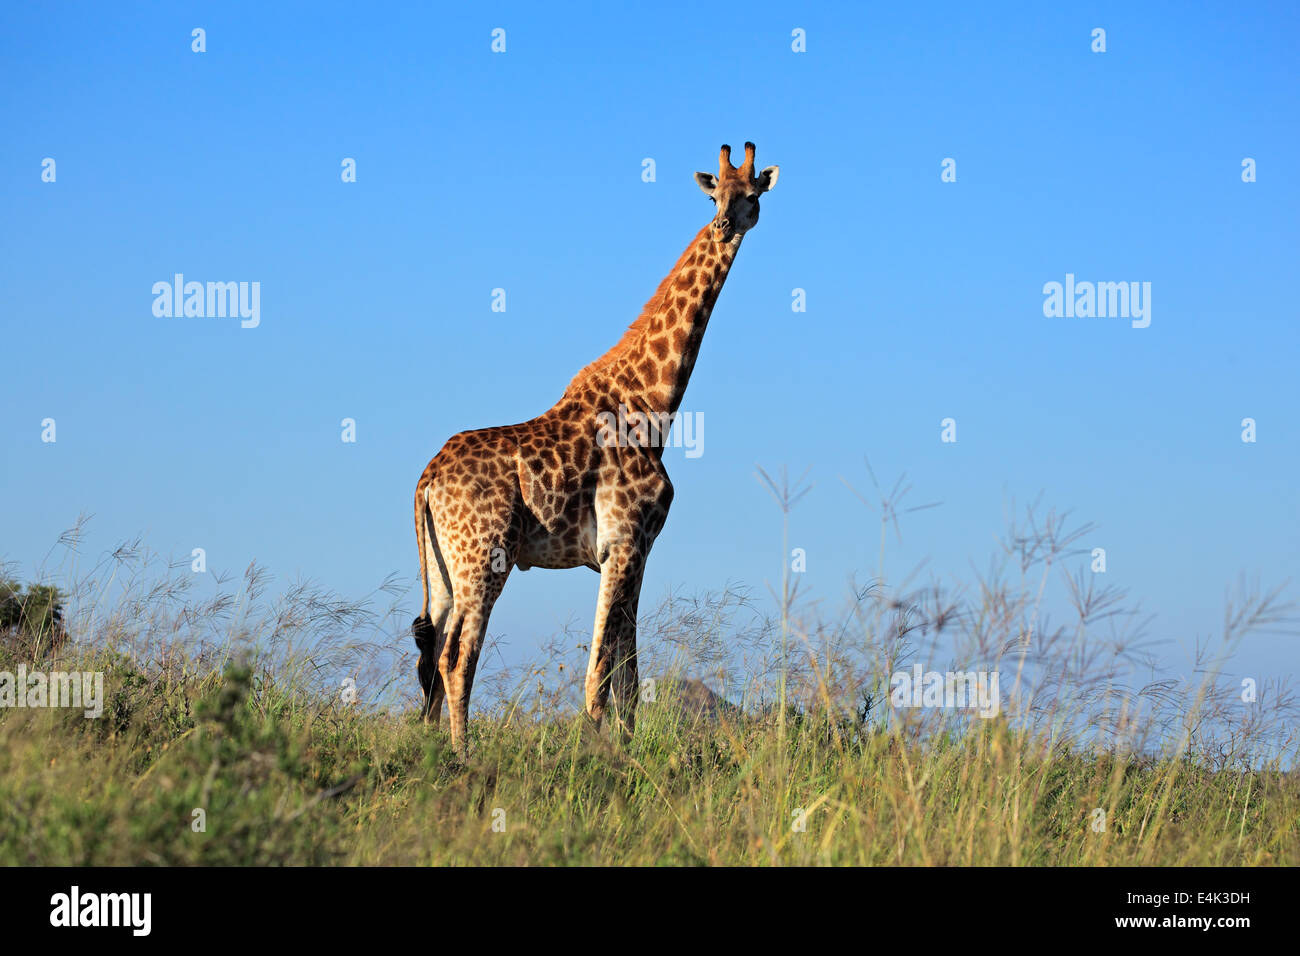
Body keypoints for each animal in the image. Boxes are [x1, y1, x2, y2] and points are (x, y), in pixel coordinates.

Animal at [413, 143, 780, 754]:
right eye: (715, 196)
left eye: (751, 195)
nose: (726, 225)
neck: (656, 403)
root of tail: (425, 482)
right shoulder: (622, 544)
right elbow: (601, 673)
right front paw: (602, 756)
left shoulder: (639, 550)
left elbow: (628, 672)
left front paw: (628, 753)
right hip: (484, 558)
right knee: (456, 658)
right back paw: (464, 756)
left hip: (443, 572)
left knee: (429, 657)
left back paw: (432, 747)